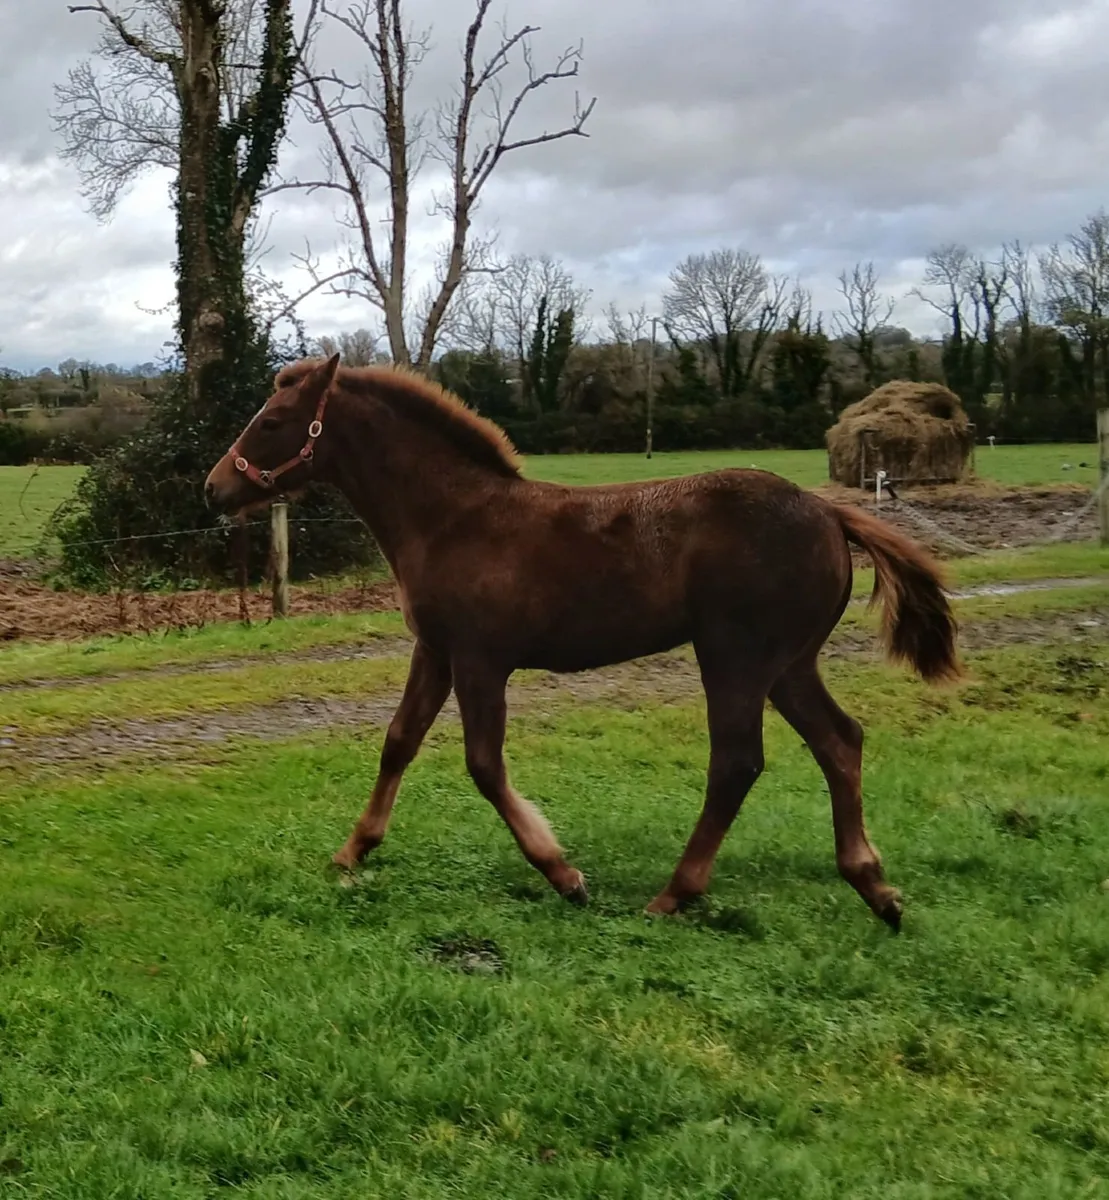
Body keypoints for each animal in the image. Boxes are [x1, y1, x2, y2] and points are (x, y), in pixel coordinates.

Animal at [205, 353, 960, 930]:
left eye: (271, 422)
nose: (213, 489)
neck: (453, 518)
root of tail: (830, 512)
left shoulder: (481, 660)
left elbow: (483, 764)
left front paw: (563, 873)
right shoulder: (436, 652)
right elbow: (399, 741)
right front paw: (352, 851)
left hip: (736, 658)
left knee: (737, 762)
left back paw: (674, 895)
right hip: (788, 663)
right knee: (839, 740)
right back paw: (873, 885)